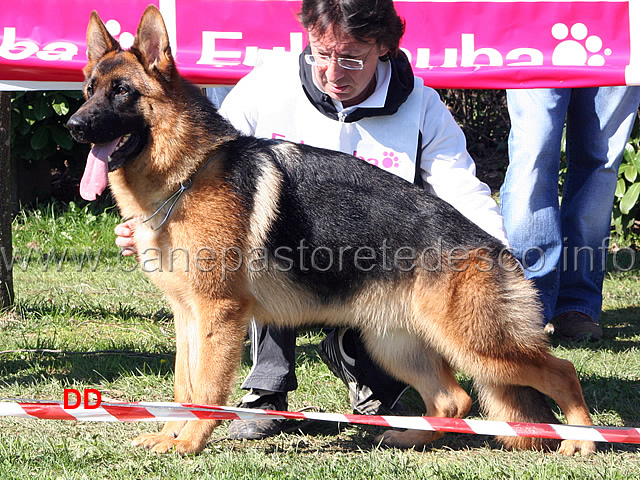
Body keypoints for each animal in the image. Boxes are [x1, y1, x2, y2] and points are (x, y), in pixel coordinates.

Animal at [67, 5, 596, 456]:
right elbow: (184, 383)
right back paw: (408, 438)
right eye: (89, 89)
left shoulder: (219, 314)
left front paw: (190, 442)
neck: (188, 173)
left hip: (481, 346)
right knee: (454, 400)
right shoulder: (188, 315)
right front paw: (170, 434)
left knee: (563, 371)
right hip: (396, 344)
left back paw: (583, 441)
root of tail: (492, 247)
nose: (74, 126)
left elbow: (207, 389)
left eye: (123, 92)